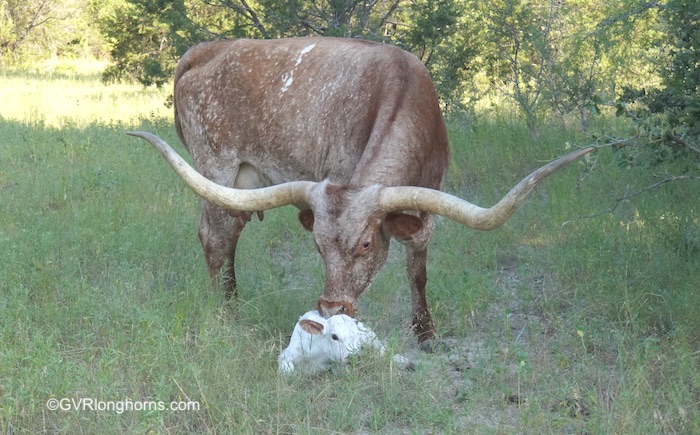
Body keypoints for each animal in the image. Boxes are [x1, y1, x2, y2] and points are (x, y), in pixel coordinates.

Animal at [129, 37, 592, 344]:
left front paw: (424, 332)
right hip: (217, 168)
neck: (406, 93)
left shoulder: (426, 202)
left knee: (229, 233)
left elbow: (417, 269)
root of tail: (205, 50)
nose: (333, 308)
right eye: (317, 246)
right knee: (216, 237)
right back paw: (228, 316)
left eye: (367, 244)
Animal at [278, 310, 412, 374]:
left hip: (370, 337)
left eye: (356, 336)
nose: (354, 357)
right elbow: (289, 372)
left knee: (383, 349)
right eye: (334, 336)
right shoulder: (286, 355)